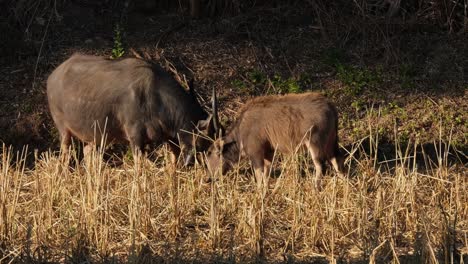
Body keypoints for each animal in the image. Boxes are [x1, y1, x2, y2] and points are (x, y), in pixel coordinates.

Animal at [47, 52, 221, 164]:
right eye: (204, 144)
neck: (155, 98)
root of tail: (52, 76)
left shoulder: (169, 138)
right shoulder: (135, 136)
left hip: (95, 134)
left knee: (88, 151)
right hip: (63, 130)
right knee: (64, 155)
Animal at [205, 92, 344, 189]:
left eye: (210, 153)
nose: (209, 179)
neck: (240, 132)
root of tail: (330, 106)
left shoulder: (256, 155)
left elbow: (259, 175)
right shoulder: (269, 153)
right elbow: (266, 173)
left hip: (315, 144)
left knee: (320, 166)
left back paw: (316, 188)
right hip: (330, 144)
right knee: (336, 161)